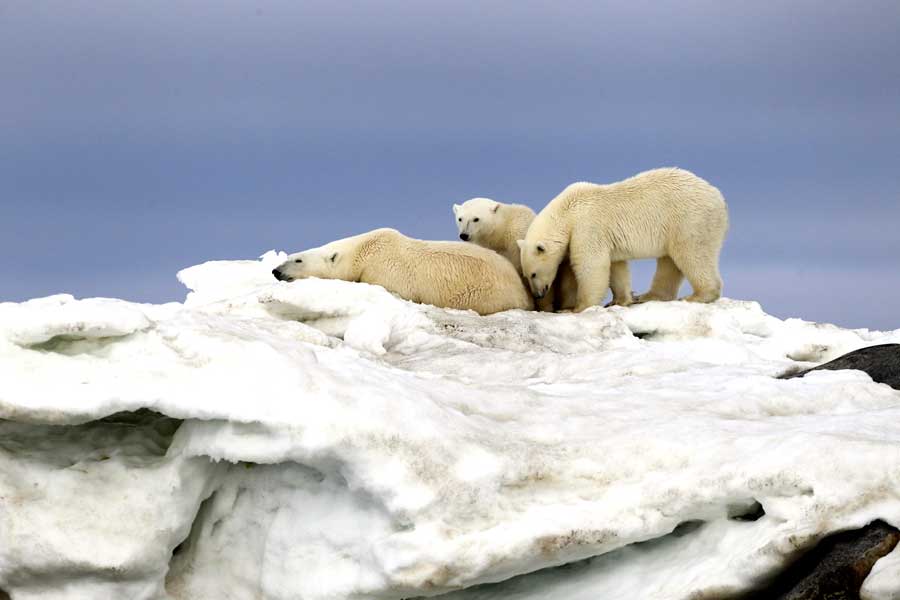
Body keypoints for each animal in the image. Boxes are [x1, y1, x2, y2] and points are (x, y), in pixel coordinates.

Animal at [268, 227, 536, 316]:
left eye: (298, 260)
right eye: (290, 257)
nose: (275, 271)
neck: (364, 252)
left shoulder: (386, 270)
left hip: (487, 294)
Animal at [516, 166, 728, 312]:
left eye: (533, 274)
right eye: (525, 275)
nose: (538, 294)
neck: (568, 210)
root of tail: (719, 197)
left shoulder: (587, 226)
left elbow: (591, 264)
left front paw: (575, 308)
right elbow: (616, 266)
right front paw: (619, 300)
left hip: (689, 220)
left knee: (692, 254)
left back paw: (697, 296)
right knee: (669, 261)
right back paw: (648, 296)